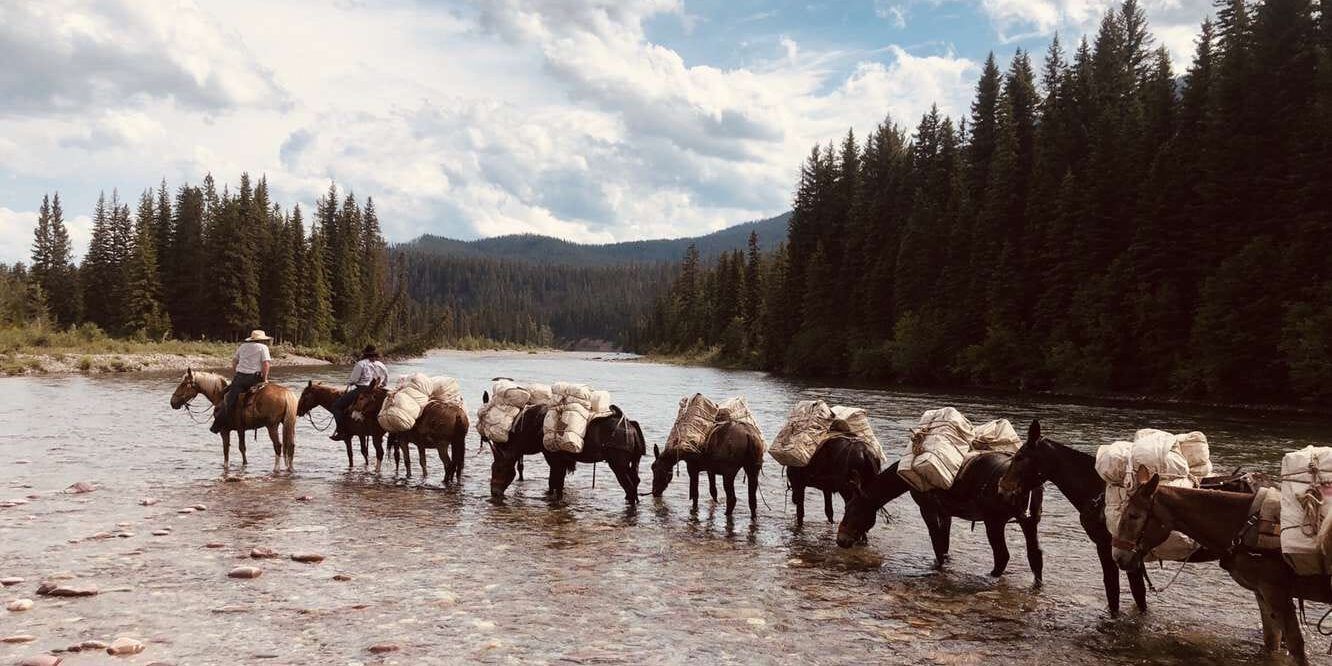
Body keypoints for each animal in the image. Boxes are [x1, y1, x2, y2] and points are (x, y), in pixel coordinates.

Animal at [170, 368, 298, 472]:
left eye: (184, 384)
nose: (172, 402)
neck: (220, 396)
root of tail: (286, 394)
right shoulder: (240, 429)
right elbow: (240, 448)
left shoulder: (225, 430)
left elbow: (228, 449)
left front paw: (228, 467)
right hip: (289, 423)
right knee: (291, 445)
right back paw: (290, 468)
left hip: (272, 426)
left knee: (278, 445)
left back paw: (276, 469)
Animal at [489, 403, 645, 505]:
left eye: (498, 469)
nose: (494, 492)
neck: (536, 426)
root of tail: (630, 425)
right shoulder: (561, 459)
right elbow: (558, 483)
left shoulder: (553, 458)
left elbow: (554, 481)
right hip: (632, 463)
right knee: (635, 483)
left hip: (618, 465)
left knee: (629, 486)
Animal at [837, 452, 1044, 585]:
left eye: (853, 509)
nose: (840, 540)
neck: (906, 479)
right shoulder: (946, 512)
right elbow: (944, 544)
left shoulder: (927, 508)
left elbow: (937, 544)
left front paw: (937, 568)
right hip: (1029, 521)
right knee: (1035, 556)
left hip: (994, 521)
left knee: (1002, 556)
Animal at [1114, 468, 1332, 665]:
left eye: (1133, 515)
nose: (1118, 557)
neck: (1243, 526)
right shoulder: (1262, 593)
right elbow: (1272, 642)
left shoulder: (1277, 592)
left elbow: (1297, 648)